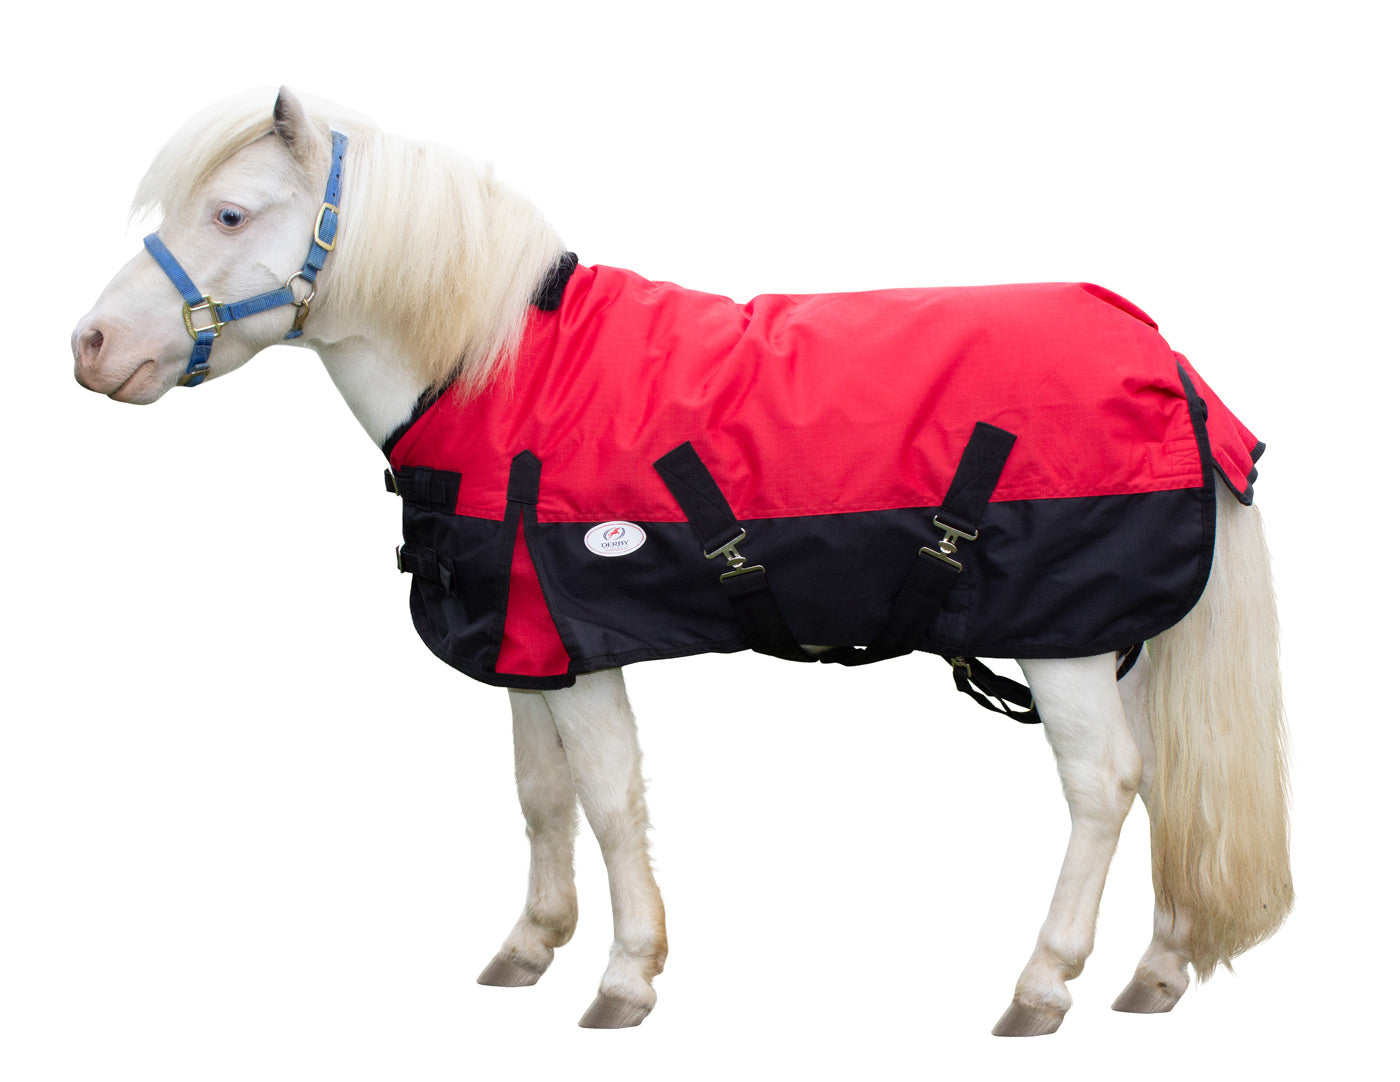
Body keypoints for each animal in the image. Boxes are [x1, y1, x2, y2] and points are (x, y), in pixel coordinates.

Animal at [71, 87, 1292, 1035]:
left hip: (1060, 640)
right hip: (1110, 638)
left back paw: (1041, 984)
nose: (90, 345)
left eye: (231, 211)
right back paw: (1155, 971)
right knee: (1168, 781)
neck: (496, 368)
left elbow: (609, 795)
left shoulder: (578, 637)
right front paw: (530, 943)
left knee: (1105, 784)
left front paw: (624, 977)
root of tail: (1169, 365)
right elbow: (540, 794)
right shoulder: (529, 646)